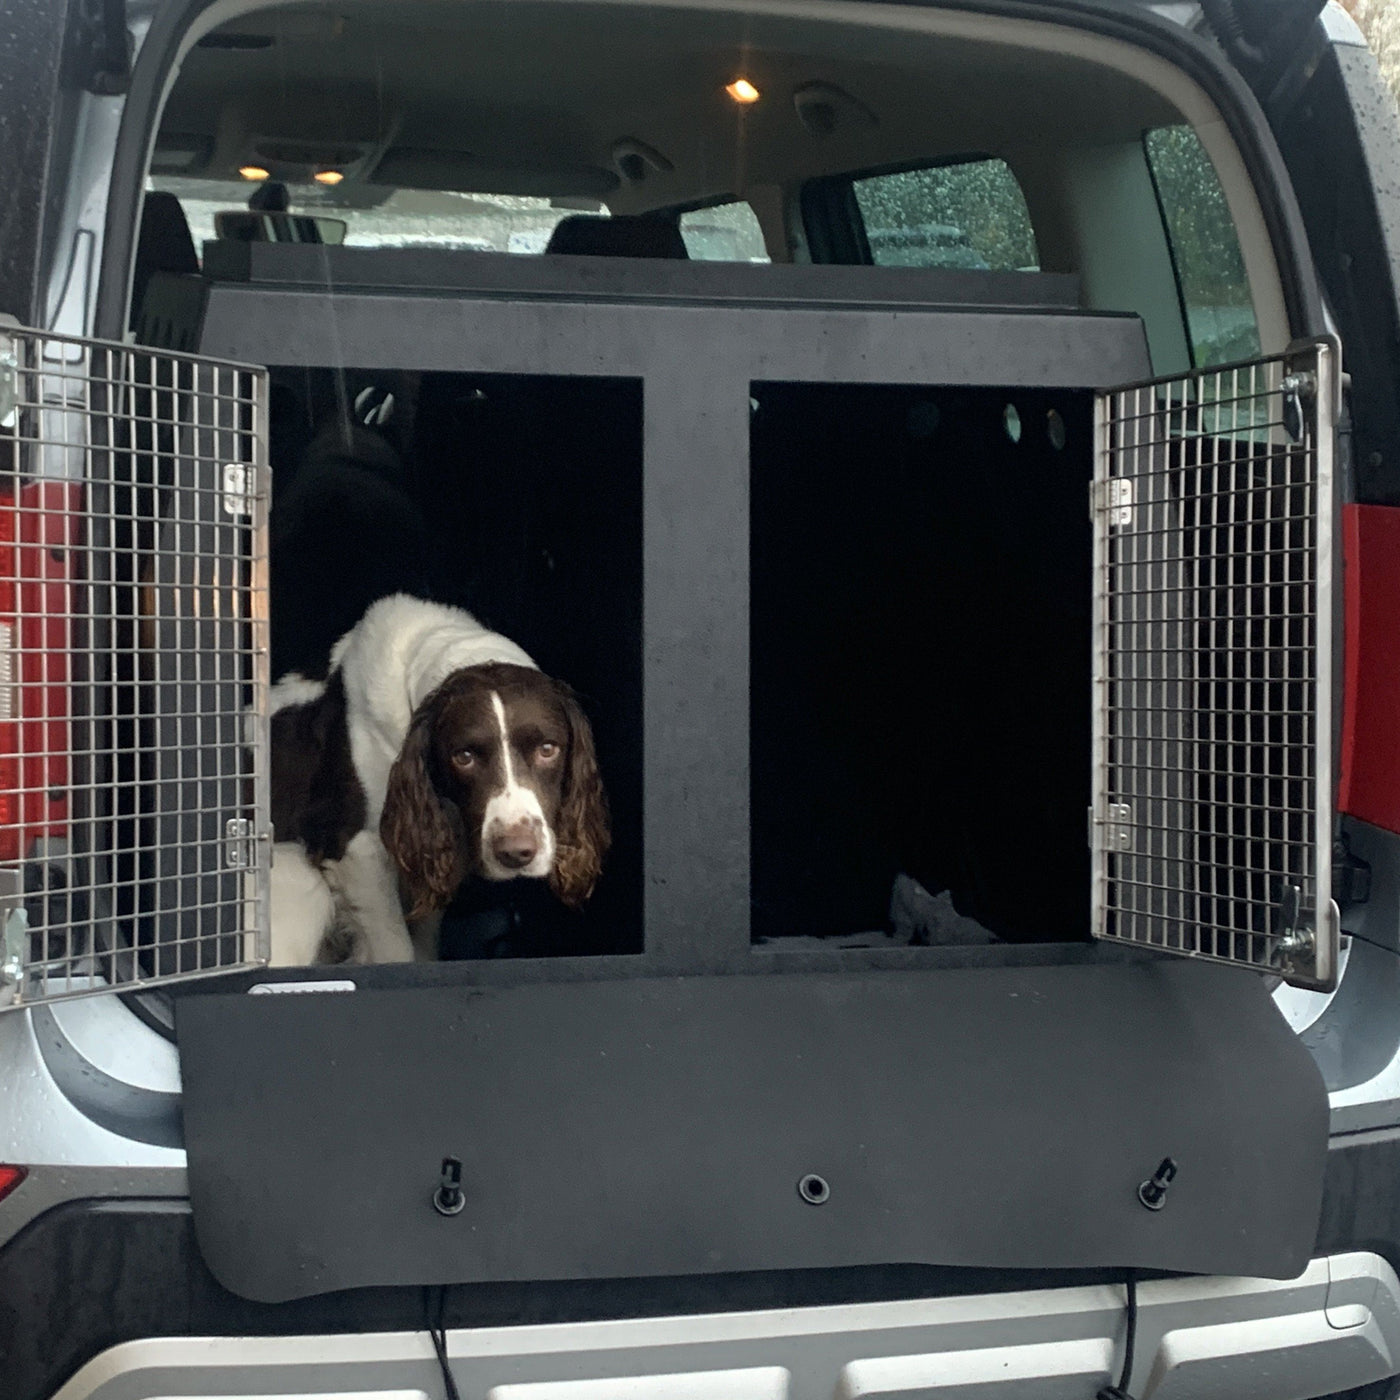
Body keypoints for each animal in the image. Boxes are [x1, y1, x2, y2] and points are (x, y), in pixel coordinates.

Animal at [267, 590, 607, 963]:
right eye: (464, 757)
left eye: (548, 749)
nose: (516, 853)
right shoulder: (357, 848)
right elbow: (396, 950)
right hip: (297, 874)